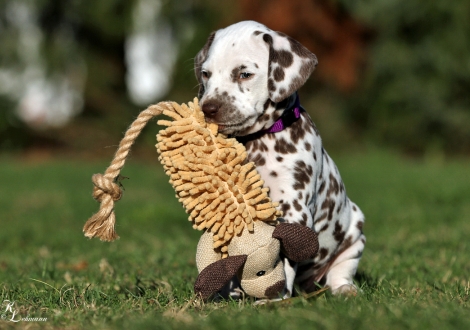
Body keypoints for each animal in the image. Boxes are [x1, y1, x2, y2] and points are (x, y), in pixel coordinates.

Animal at [193, 21, 366, 300]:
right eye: (206, 74)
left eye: (244, 74)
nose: (208, 109)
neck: (256, 143)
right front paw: (226, 292)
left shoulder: (292, 208)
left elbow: (283, 259)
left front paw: (275, 296)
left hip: (355, 231)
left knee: (340, 270)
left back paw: (344, 288)